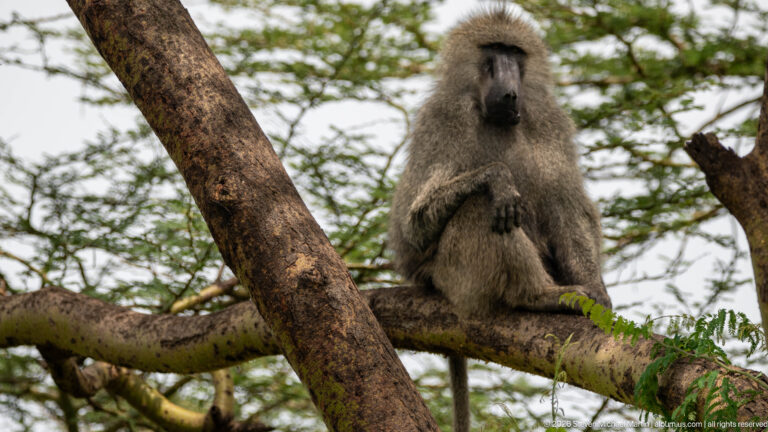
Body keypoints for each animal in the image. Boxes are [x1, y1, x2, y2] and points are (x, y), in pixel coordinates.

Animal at [387, 9, 612, 432]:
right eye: (492, 51)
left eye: (515, 53)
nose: (509, 91)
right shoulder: (442, 120)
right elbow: (413, 224)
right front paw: (497, 176)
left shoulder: (552, 123)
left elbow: (569, 210)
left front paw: (597, 291)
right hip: (453, 277)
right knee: (482, 208)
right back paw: (537, 294)